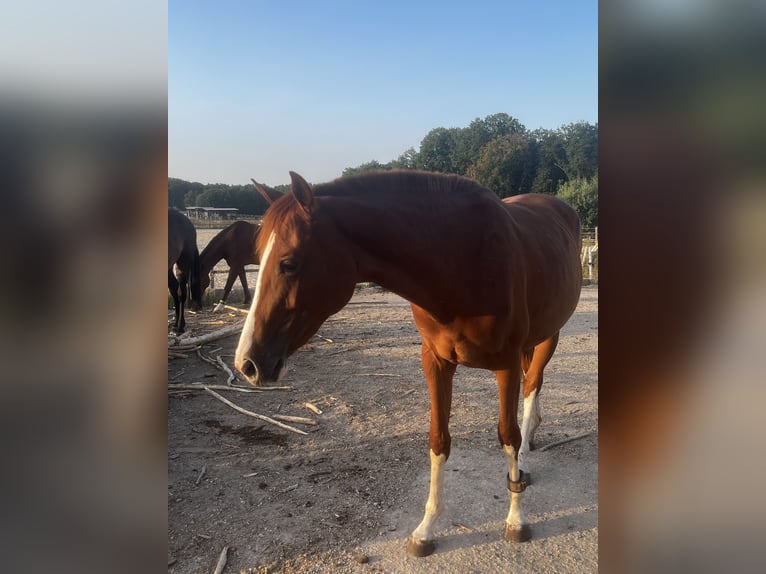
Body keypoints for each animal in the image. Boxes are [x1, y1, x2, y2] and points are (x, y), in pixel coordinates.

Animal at [236, 171, 582, 556]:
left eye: (289, 263)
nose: (247, 363)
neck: (462, 259)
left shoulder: (505, 363)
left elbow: (507, 435)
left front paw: (517, 520)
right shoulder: (435, 362)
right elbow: (438, 440)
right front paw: (426, 529)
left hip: (549, 335)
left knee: (532, 385)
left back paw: (525, 457)